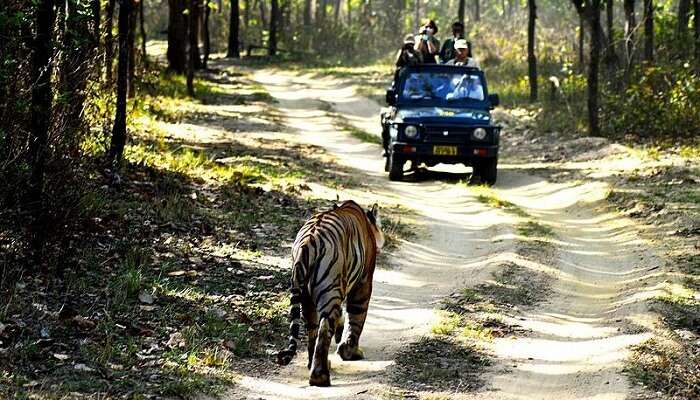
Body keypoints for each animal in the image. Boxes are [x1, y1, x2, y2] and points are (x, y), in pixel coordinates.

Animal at [276, 202, 386, 386]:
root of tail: (307, 243)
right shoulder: (363, 282)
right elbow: (356, 318)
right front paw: (349, 351)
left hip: (306, 295)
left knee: (312, 329)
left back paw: (313, 365)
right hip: (330, 291)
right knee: (324, 329)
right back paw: (320, 377)